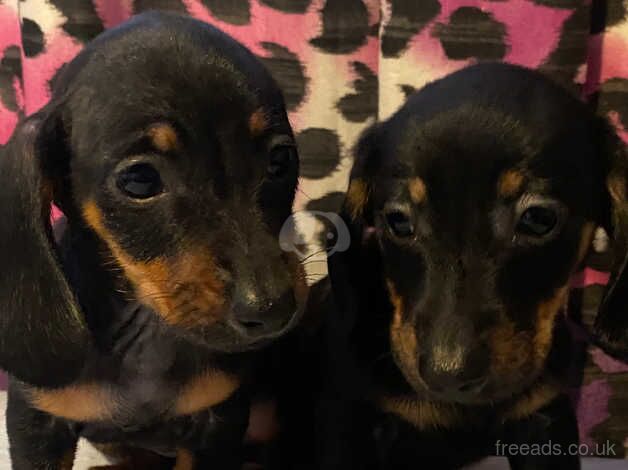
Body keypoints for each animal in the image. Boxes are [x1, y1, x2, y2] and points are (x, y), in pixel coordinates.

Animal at [0, 11, 306, 470]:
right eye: (140, 180)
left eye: (280, 159)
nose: (273, 310)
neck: (148, 329)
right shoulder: (36, 425)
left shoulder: (217, 425)